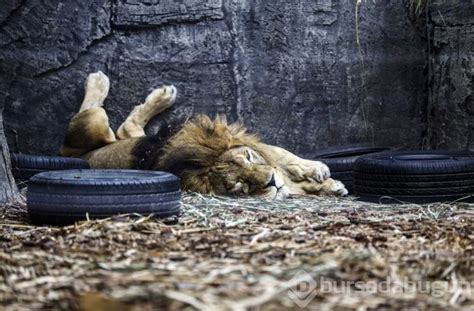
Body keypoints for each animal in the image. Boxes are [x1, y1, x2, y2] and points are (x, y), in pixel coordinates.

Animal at [61, 71, 346, 200]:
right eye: (239, 186)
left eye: (249, 158)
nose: (271, 182)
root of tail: (81, 156)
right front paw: (324, 184)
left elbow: (281, 153)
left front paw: (319, 173)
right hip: (93, 124)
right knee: (90, 113)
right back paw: (97, 81)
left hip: (139, 138)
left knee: (125, 128)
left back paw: (163, 95)